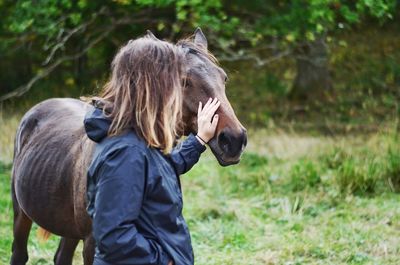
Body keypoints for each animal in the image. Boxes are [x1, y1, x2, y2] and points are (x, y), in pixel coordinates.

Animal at [10, 27, 247, 262]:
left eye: (224, 78)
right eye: (184, 81)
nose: (234, 139)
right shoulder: (92, 243)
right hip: (21, 213)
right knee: (19, 252)